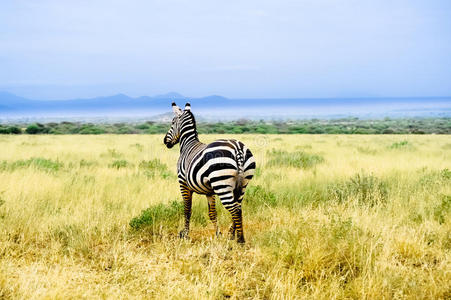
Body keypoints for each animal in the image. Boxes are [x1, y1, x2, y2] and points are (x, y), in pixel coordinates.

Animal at [164, 102, 256, 243]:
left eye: (173, 122)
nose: (165, 141)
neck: (187, 144)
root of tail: (237, 148)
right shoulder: (209, 191)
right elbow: (212, 213)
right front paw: (218, 234)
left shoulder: (182, 183)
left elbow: (187, 209)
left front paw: (185, 234)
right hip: (243, 184)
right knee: (239, 207)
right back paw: (231, 235)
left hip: (222, 184)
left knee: (235, 209)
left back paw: (240, 240)